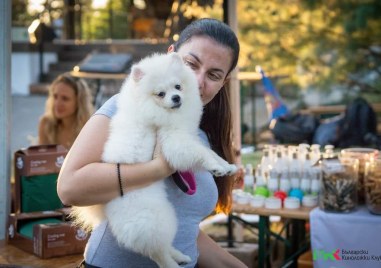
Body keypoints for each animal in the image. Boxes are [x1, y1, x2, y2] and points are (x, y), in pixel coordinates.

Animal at [71, 52, 236, 268]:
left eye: (178, 86)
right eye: (160, 94)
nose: (176, 97)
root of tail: (105, 207)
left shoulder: (186, 136)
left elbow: (210, 152)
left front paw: (226, 165)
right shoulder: (174, 141)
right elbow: (200, 153)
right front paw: (216, 167)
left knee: (162, 246)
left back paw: (180, 256)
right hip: (154, 219)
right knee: (157, 251)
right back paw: (172, 263)